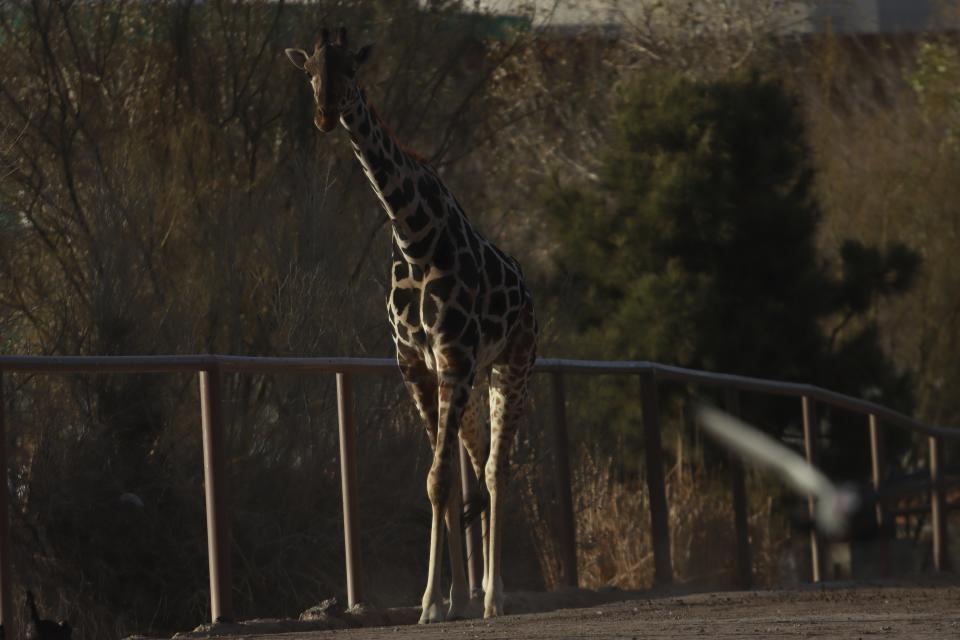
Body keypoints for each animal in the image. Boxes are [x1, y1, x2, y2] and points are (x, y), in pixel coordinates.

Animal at [284, 27, 540, 624]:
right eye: (309, 71)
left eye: (352, 68)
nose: (326, 114)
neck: (414, 237)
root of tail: (528, 292)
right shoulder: (415, 366)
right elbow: (436, 482)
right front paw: (442, 602)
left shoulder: (454, 360)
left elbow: (441, 478)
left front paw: (431, 603)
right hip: (474, 382)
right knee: (478, 464)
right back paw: (473, 594)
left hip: (511, 366)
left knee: (496, 470)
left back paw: (495, 596)